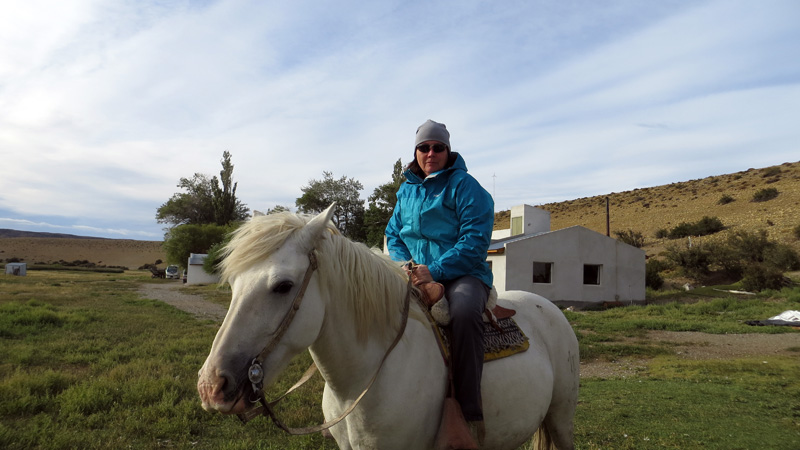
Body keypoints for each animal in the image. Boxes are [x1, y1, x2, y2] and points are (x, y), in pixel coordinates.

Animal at [197, 206, 580, 448]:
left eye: (283, 286)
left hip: (561, 418)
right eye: (233, 284)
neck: (363, 379)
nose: (212, 386)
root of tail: (549, 308)